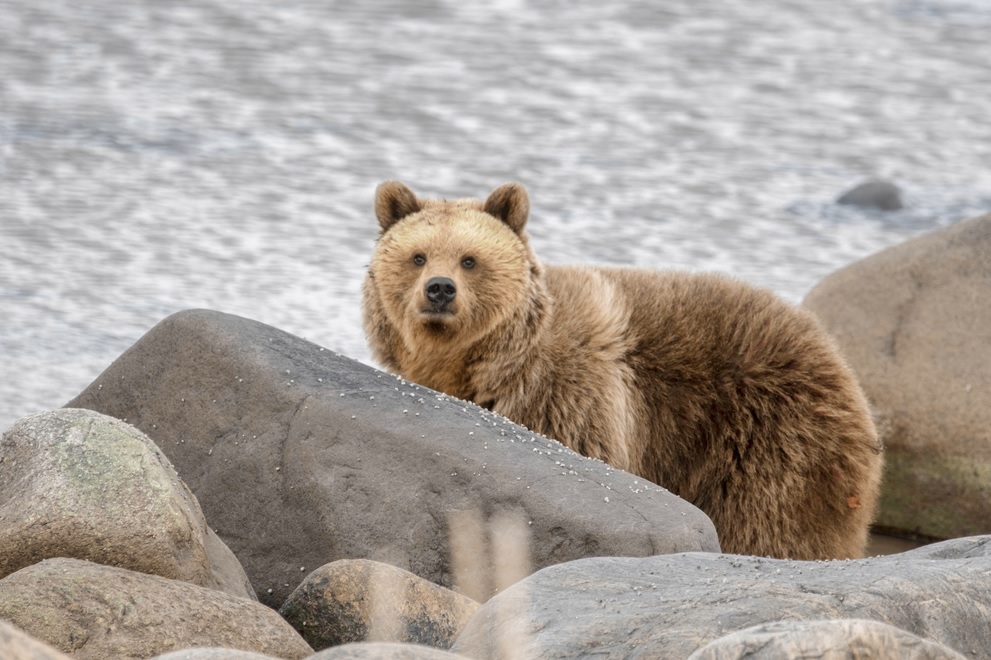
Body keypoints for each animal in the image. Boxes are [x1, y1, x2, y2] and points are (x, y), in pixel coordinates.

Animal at [362, 182, 884, 564]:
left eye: (470, 259)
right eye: (418, 256)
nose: (440, 289)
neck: (490, 363)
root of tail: (843, 369)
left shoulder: (569, 396)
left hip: (771, 440)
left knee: (772, 523)